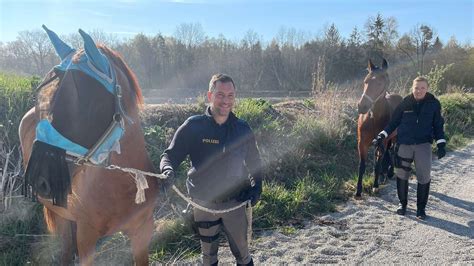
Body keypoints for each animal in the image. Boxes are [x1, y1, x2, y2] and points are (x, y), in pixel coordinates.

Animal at [19, 26, 159, 264]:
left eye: (84, 99)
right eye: (45, 97)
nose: (40, 180)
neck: (122, 187)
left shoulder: (142, 231)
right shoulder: (86, 240)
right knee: (66, 249)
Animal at [356, 59, 404, 198]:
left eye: (380, 83)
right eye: (366, 81)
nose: (362, 106)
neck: (373, 118)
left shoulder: (381, 141)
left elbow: (377, 163)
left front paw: (375, 186)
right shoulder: (362, 143)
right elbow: (362, 165)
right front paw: (358, 190)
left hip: (395, 137)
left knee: (392, 151)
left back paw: (390, 172)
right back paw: (384, 174)